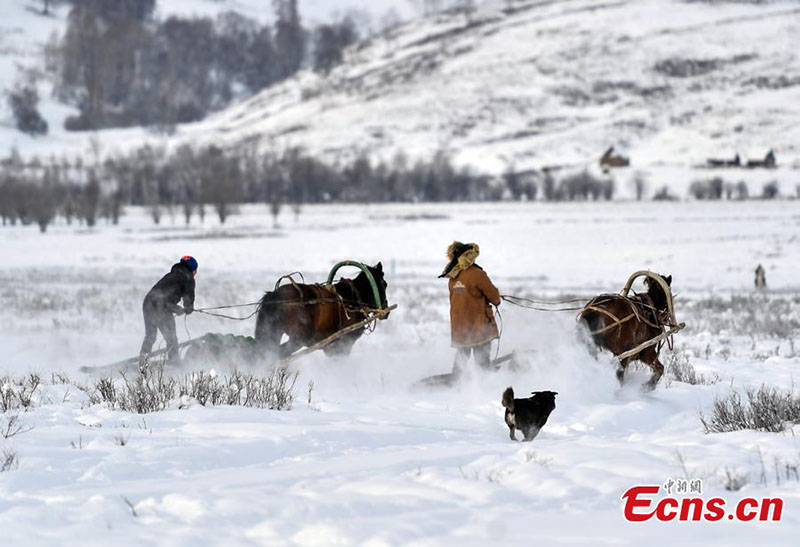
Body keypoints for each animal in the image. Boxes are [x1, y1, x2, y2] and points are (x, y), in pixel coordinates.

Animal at [255, 264, 390, 360]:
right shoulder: (344, 344)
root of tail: (276, 296)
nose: (386, 309)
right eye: (385, 284)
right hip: (297, 339)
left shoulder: (330, 347)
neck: (353, 298)